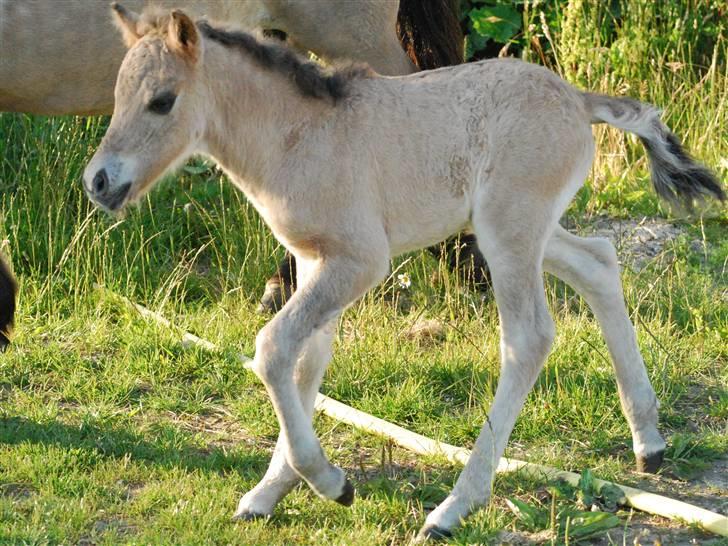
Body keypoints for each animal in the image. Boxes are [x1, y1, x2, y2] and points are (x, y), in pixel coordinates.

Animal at [84, 4, 724, 536]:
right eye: (116, 96)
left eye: (162, 100)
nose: (99, 182)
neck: (295, 137)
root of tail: (575, 97)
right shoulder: (315, 262)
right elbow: (303, 363)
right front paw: (271, 493)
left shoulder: (360, 260)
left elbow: (271, 350)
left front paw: (330, 483)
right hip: (519, 228)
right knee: (598, 262)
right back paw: (649, 441)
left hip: (509, 231)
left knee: (529, 339)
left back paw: (453, 508)